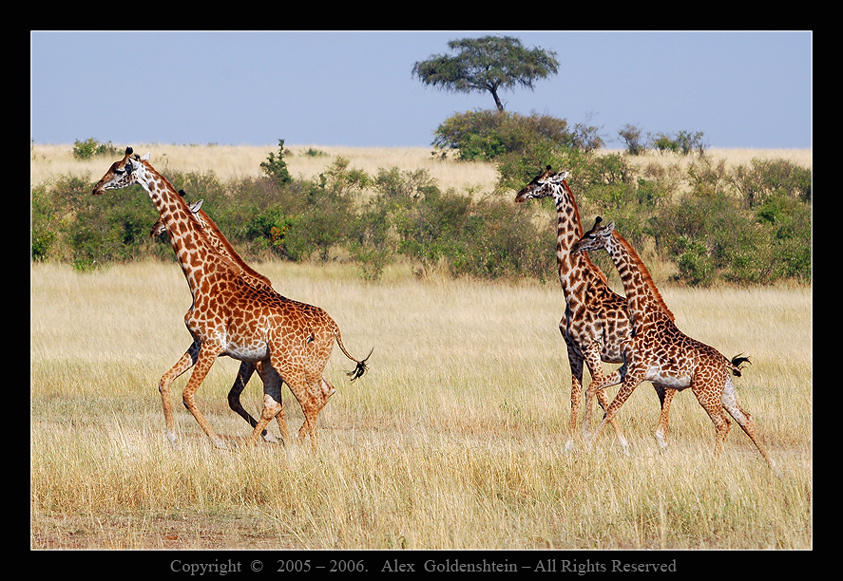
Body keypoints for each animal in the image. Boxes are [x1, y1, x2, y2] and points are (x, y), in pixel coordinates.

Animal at [515, 166, 675, 450]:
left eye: (540, 182)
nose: (519, 195)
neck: (574, 290)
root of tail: (672, 320)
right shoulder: (572, 349)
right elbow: (575, 395)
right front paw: (569, 443)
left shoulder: (591, 348)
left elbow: (600, 395)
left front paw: (620, 443)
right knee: (663, 392)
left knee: (667, 392)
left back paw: (662, 439)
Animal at [571, 217, 776, 470]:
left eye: (591, 236)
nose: (575, 248)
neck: (642, 316)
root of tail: (726, 363)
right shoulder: (627, 368)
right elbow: (592, 388)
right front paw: (585, 437)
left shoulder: (637, 373)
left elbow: (610, 410)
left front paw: (588, 447)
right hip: (724, 391)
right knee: (745, 418)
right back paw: (773, 465)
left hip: (704, 392)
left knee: (723, 423)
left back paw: (713, 465)